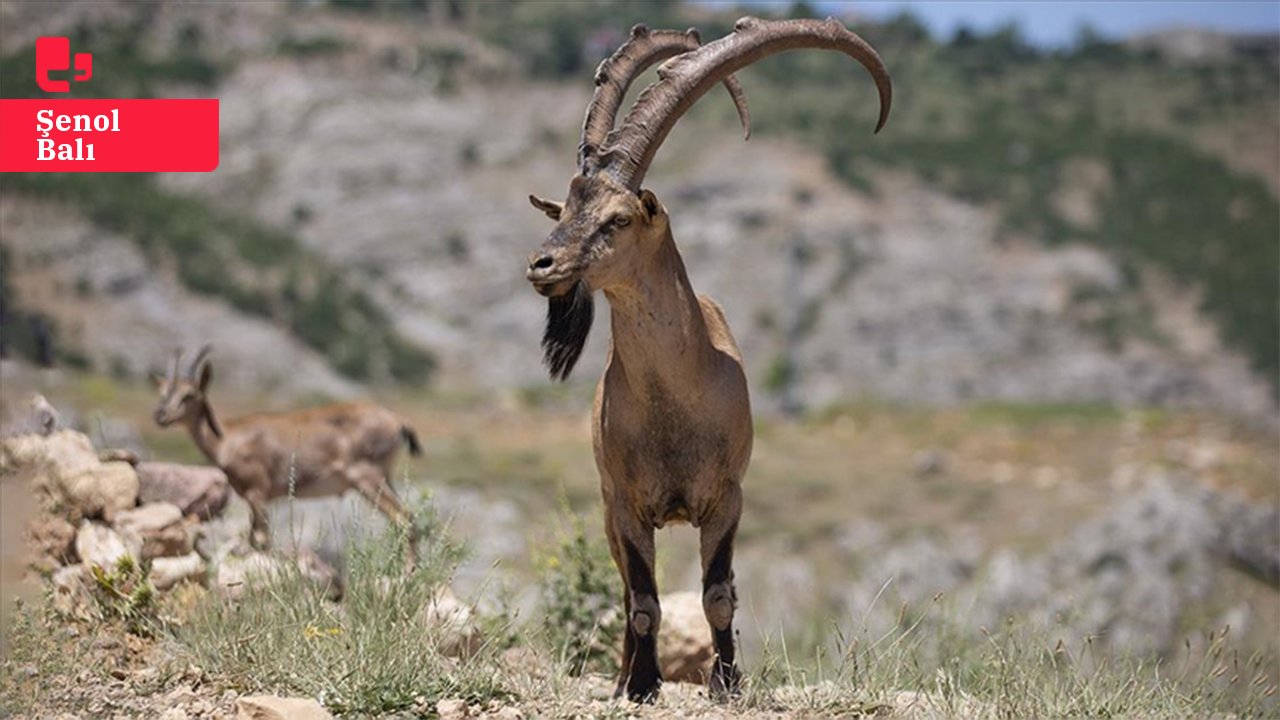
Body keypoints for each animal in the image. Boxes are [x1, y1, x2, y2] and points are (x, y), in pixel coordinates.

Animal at [151, 345, 419, 566]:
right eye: (163, 391)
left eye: (189, 394)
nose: (160, 415)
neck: (227, 439)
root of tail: (398, 423)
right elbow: (255, 539)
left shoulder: (258, 492)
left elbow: (261, 540)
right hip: (384, 478)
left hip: (368, 478)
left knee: (404, 518)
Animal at [519, 16, 890, 702]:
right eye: (567, 208)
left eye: (617, 218)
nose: (542, 264)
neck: (676, 402)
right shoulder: (627, 506)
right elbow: (642, 601)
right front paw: (641, 685)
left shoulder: (726, 500)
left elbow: (718, 595)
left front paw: (726, 681)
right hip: (607, 513)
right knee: (624, 592)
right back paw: (621, 676)